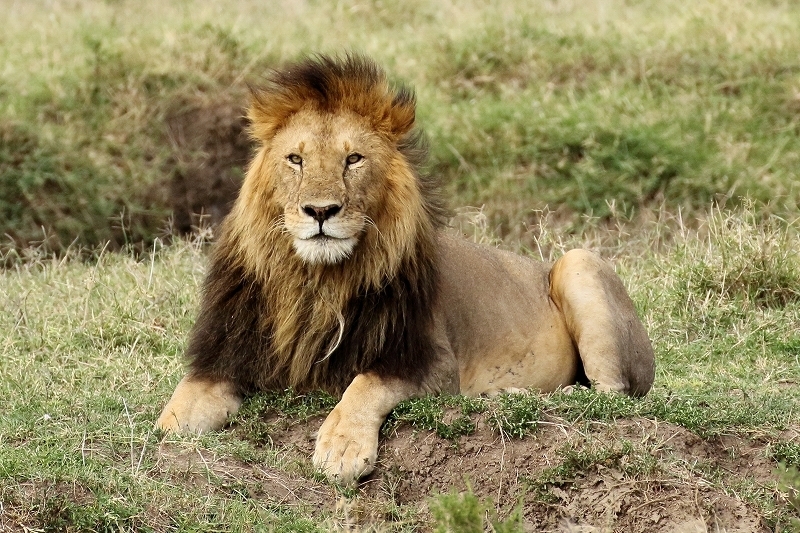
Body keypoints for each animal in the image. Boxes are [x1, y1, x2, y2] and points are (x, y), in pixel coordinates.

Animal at [158, 53, 656, 482]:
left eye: (353, 159)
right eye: (295, 159)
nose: (320, 211)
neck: (314, 284)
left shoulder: (428, 362)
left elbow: (365, 385)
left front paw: (341, 448)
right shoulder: (223, 358)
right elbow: (175, 414)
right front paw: (165, 438)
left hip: (579, 262)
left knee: (614, 396)